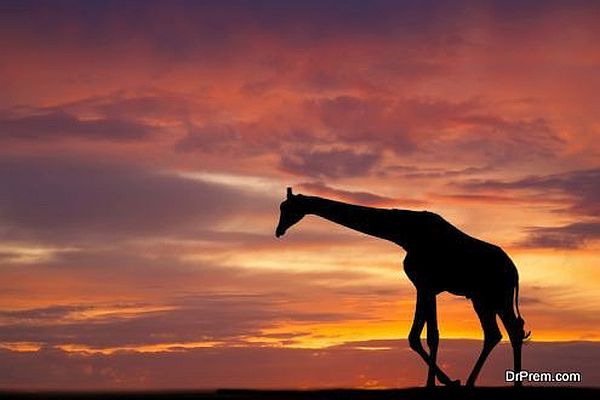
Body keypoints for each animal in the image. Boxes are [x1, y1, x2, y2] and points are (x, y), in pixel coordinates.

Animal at [274, 188, 528, 388]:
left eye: (287, 208)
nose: (279, 231)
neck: (404, 234)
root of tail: (515, 271)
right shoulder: (423, 287)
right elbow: (417, 336)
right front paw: (445, 382)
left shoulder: (426, 285)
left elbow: (429, 335)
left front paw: (436, 383)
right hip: (482, 298)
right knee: (497, 333)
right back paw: (473, 382)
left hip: (497, 296)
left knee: (510, 331)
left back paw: (510, 384)